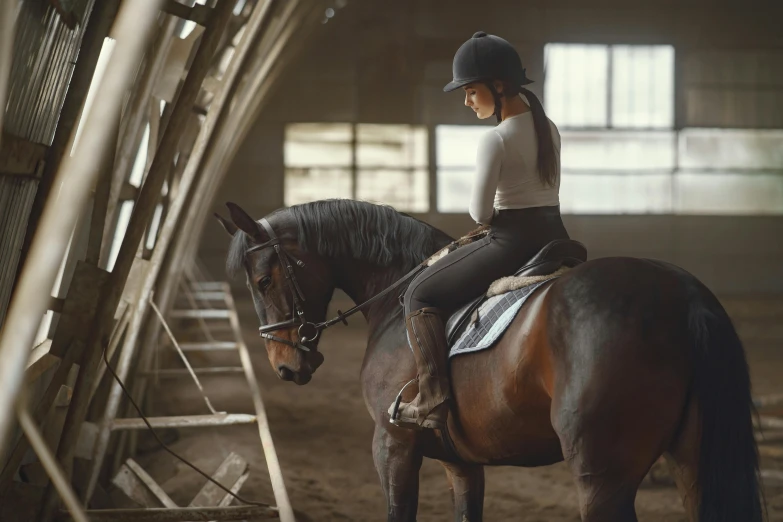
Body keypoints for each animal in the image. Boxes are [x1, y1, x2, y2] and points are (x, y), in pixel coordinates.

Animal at [217, 197, 764, 516]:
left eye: (263, 280)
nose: (285, 366)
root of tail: (681, 292)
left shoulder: (392, 445)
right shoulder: (460, 463)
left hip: (601, 474)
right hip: (691, 462)